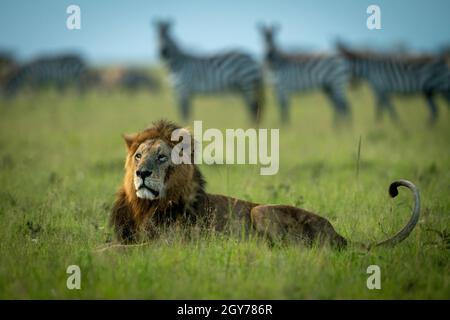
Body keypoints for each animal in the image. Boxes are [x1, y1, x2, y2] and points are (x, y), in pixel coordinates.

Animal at [110, 119, 420, 248]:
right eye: (138, 156)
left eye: (162, 157)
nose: (142, 173)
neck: (145, 207)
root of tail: (336, 234)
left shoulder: (168, 246)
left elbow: (115, 252)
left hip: (260, 211)